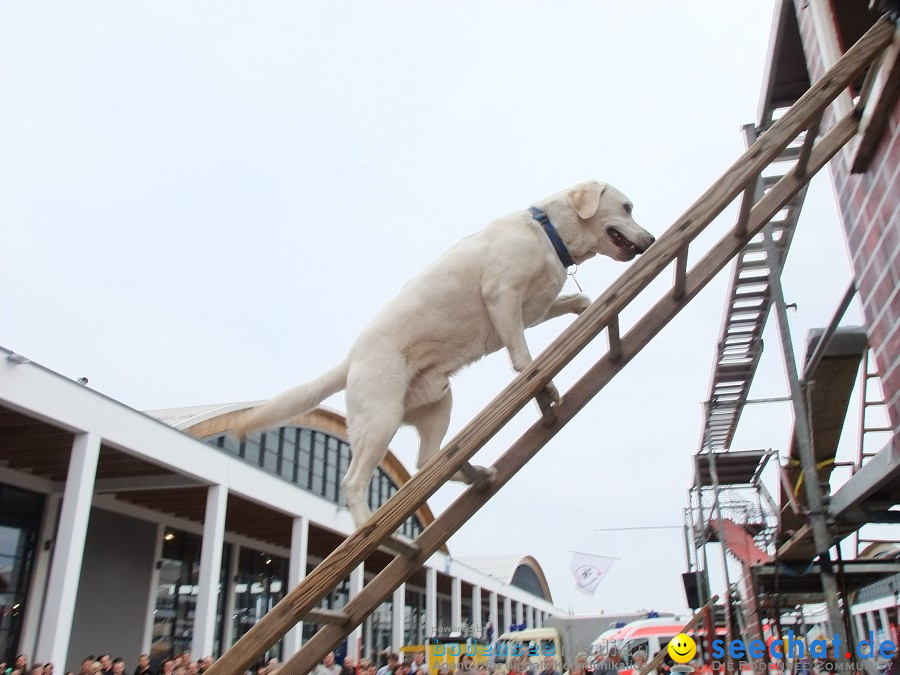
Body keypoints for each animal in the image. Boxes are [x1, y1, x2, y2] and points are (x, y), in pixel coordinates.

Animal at [236, 181, 652, 528]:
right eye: (628, 207)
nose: (649, 239)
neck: (548, 233)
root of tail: (350, 361)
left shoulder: (532, 310)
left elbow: (578, 299)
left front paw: (590, 311)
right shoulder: (502, 296)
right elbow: (524, 361)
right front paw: (542, 386)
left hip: (439, 403)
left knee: (426, 463)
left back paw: (478, 473)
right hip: (380, 418)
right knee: (354, 481)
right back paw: (365, 525)